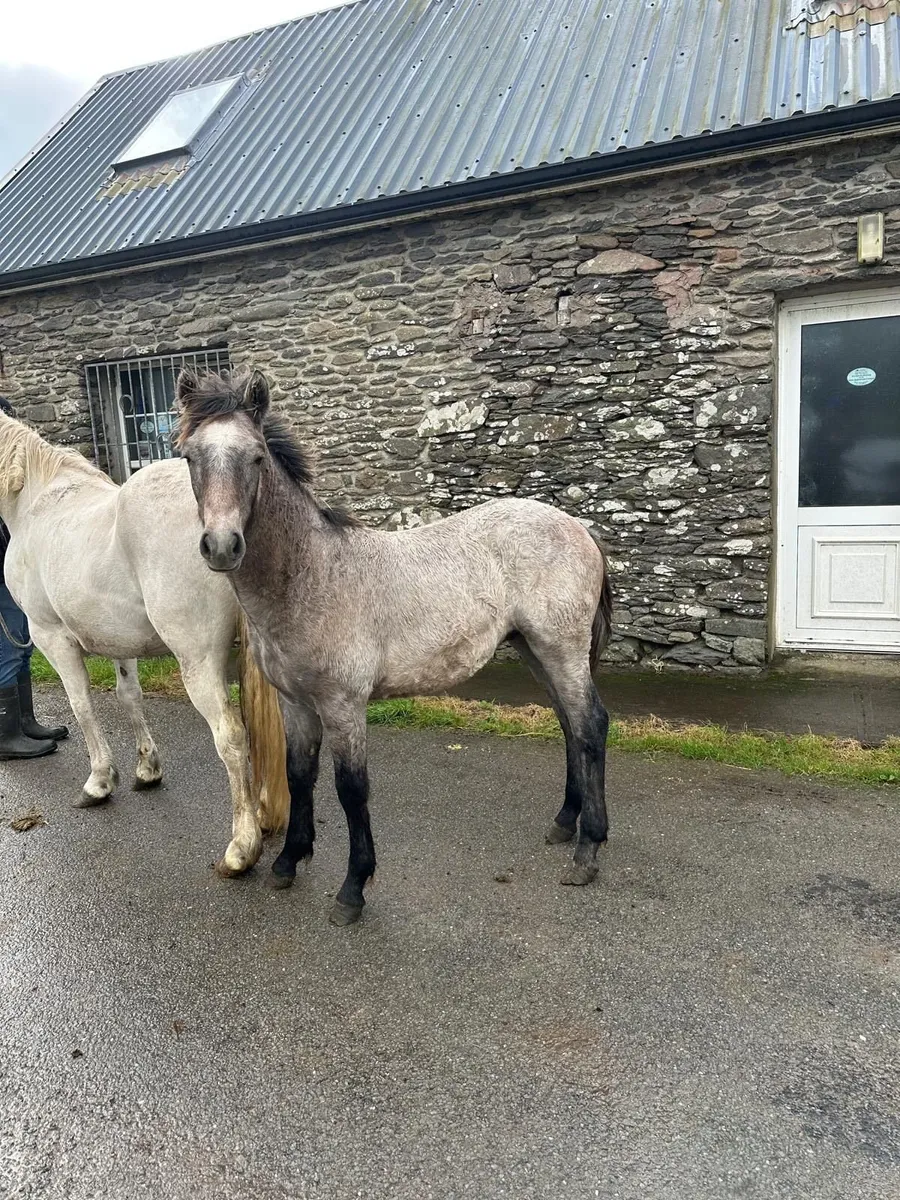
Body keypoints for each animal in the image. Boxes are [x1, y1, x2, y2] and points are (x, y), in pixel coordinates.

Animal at [0, 409, 289, 875]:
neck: (36, 500)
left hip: (198, 661)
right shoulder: (120, 641)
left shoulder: (51, 635)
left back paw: (242, 847)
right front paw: (147, 769)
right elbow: (128, 696)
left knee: (231, 736)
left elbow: (82, 705)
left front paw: (99, 782)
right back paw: (264, 815)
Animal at [176, 368, 614, 926]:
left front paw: (353, 889)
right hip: (537, 651)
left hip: (561, 650)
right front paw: (288, 862)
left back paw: (587, 851)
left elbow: (351, 789)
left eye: (254, 456)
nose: (222, 546)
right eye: (190, 456)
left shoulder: (343, 705)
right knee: (569, 726)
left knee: (590, 725)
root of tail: (579, 527)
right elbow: (299, 776)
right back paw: (564, 823)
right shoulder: (295, 702)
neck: (312, 574)